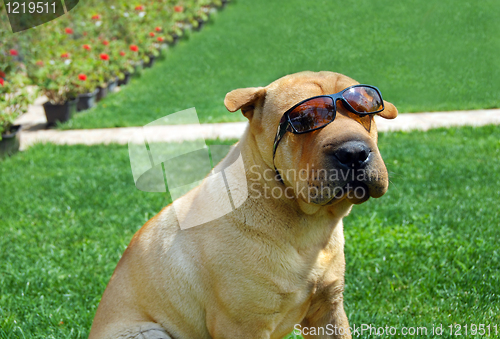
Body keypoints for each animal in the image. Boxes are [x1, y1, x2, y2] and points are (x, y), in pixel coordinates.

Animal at [88, 71, 396, 339]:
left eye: (365, 111)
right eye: (305, 119)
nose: (354, 152)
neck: (306, 226)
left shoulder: (328, 308)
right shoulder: (243, 325)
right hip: (147, 331)